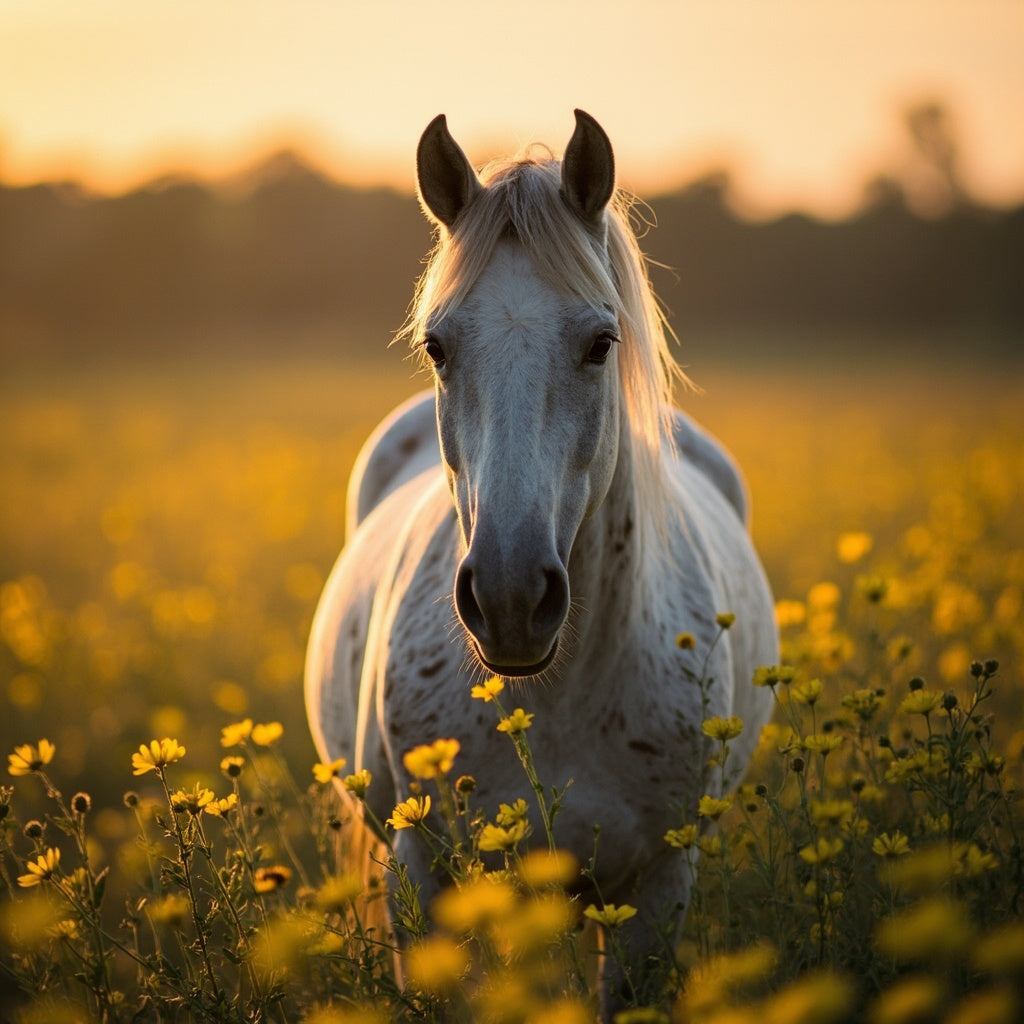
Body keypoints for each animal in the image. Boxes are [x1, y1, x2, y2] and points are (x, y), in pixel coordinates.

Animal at [305, 110, 778, 1013]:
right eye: (437, 346)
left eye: (600, 342)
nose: (511, 599)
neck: (554, 703)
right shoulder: (425, 876)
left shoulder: (656, 886)